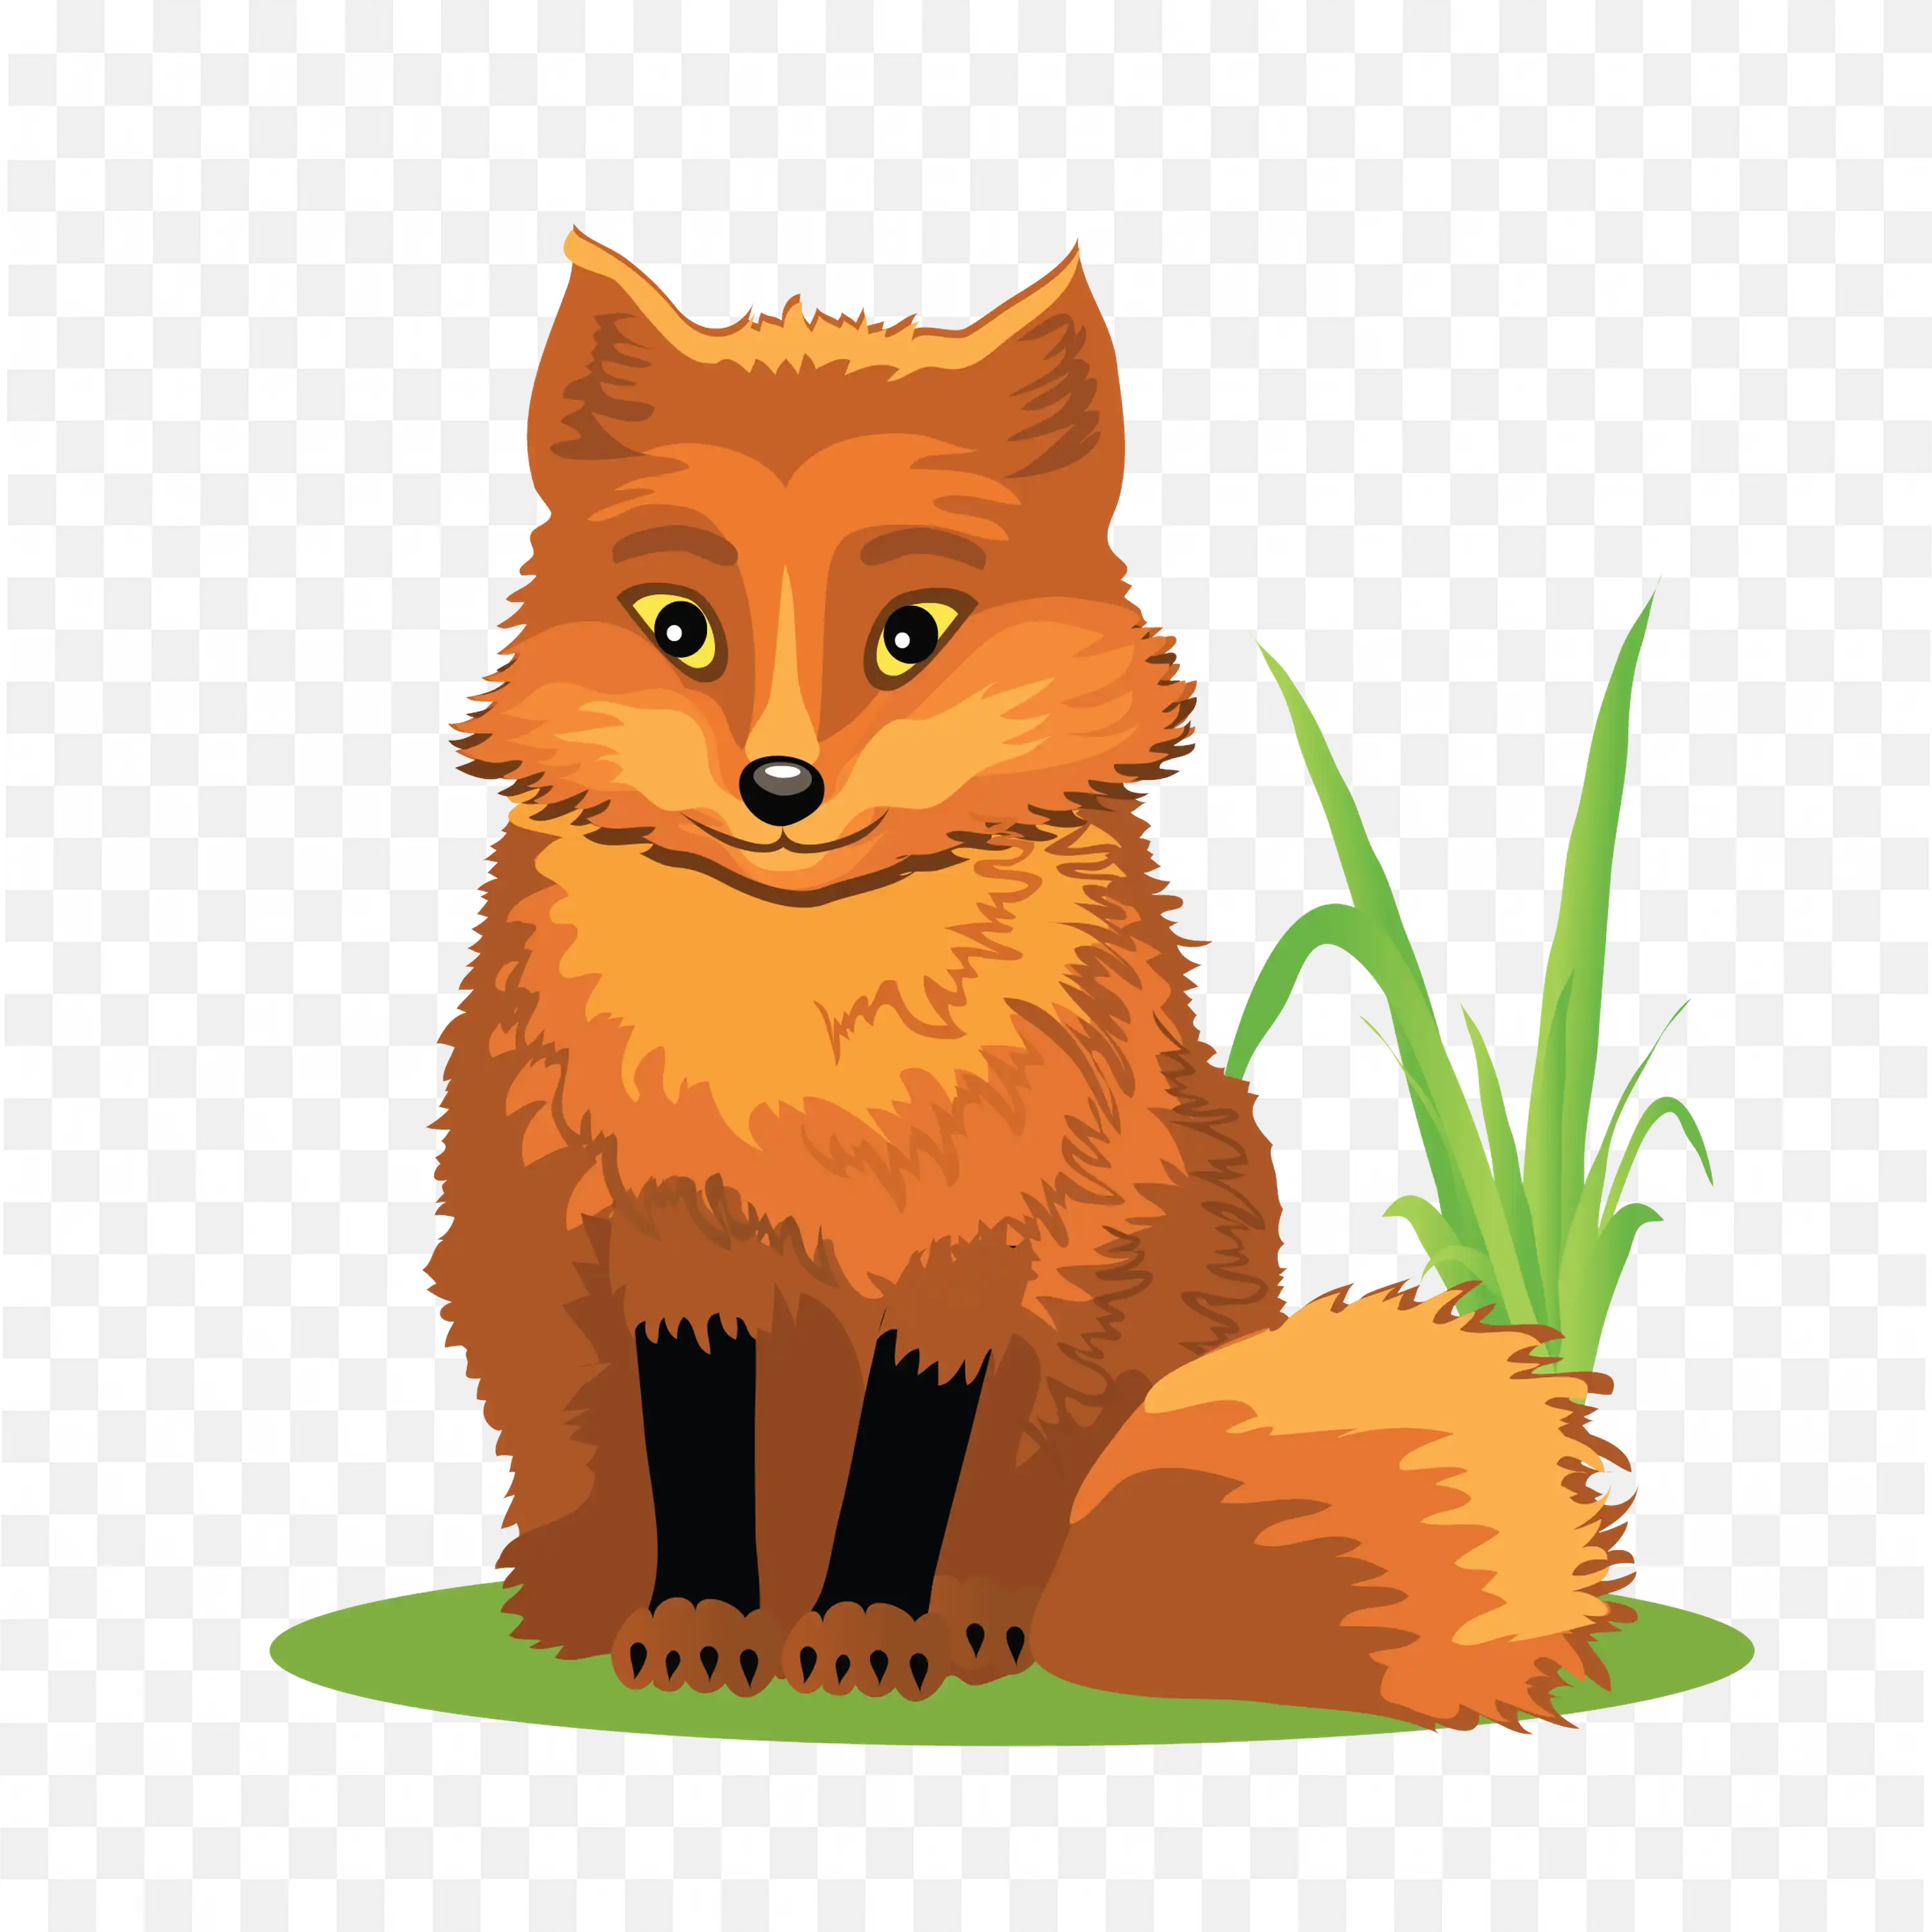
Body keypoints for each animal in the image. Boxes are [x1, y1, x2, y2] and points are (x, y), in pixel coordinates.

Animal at [428, 228, 1633, 1729]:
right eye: (680, 628)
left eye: (911, 633)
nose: (781, 787)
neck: (814, 1045)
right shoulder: (667, 1242)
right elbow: (698, 1461)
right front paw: (702, 1626)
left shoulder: (987, 1252)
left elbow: (909, 1470)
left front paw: (875, 1633)